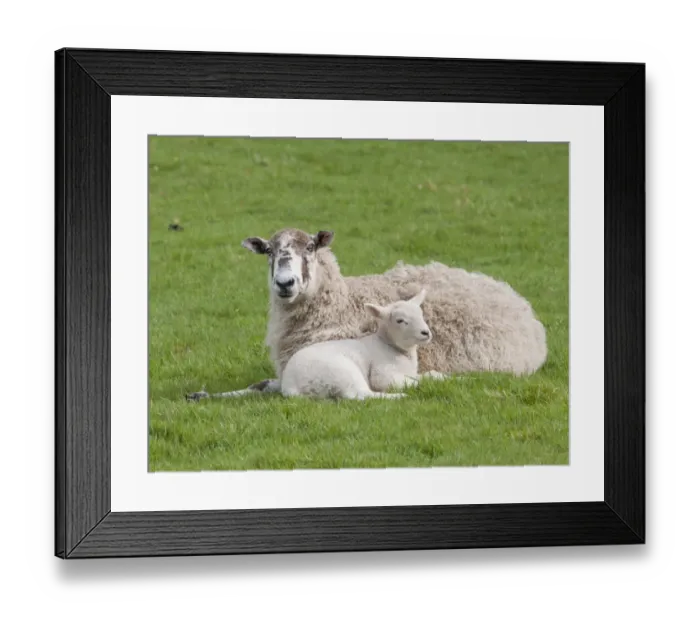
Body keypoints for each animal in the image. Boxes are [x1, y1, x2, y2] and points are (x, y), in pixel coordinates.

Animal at [281, 289, 441, 400]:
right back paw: (398, 396)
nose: (426, 333)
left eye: (421, 315)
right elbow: (409, 382)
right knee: (360, 395)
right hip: (342, 371)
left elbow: (432, 375)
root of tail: (290, 385)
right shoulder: (382, 374)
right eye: (400, 320)